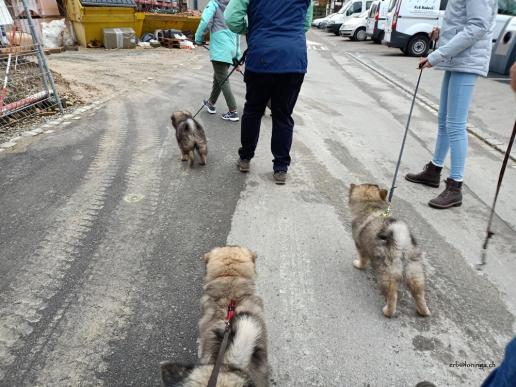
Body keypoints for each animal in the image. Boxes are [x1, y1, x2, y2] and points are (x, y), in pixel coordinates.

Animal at [348, 184, 430, 318]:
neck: (371, 206)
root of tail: (401, 241)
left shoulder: (360, 246)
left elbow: (363, 260)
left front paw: (358, 265)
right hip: (415, 272)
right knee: (418, 293)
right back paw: (423, 311)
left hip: (387, 274)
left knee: (392, 295)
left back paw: (387, 311)